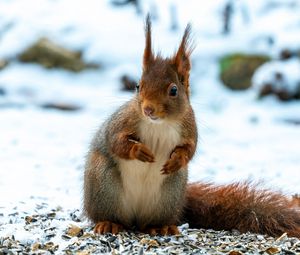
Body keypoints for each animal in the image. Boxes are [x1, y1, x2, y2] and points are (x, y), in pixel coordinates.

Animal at [82, 15, 300, 238]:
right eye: (138, 86)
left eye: (173, 90)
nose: (148, 110)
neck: (160, 123)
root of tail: (134, 218)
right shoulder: (122, 121)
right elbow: (115, 141)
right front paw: (139, 151)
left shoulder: (189, 128)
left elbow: (190, 150)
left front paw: (177, 159)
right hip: (103, 183)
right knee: (110, 215)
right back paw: (109, 223)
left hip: (171, 192)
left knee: (149, 222)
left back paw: (159, 227)